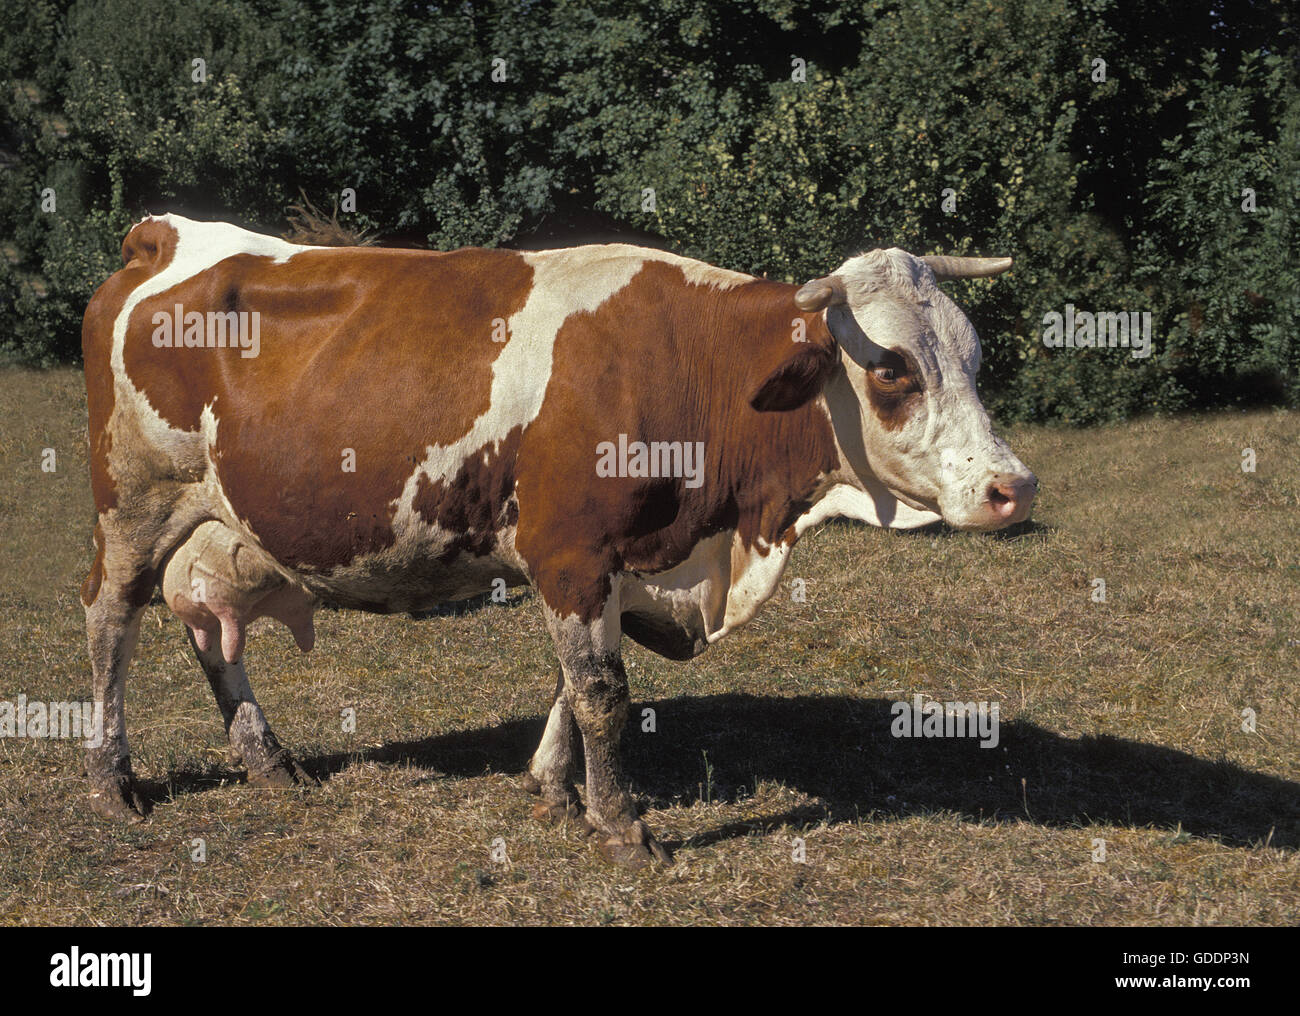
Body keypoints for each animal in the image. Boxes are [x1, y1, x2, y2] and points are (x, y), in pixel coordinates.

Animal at [81, 213, 1034, 867]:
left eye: (975, 359)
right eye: (892, 371)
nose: (1012, 487)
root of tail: (166, 235)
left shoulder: (604, 562)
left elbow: (576, 683)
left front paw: (552, 790)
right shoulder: (572, 550)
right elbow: (603, 693)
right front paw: (622, 826)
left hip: (216, 524)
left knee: (212, 633)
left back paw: (267, 759)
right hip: (133, 504)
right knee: (110, 624)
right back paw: (111, 780)